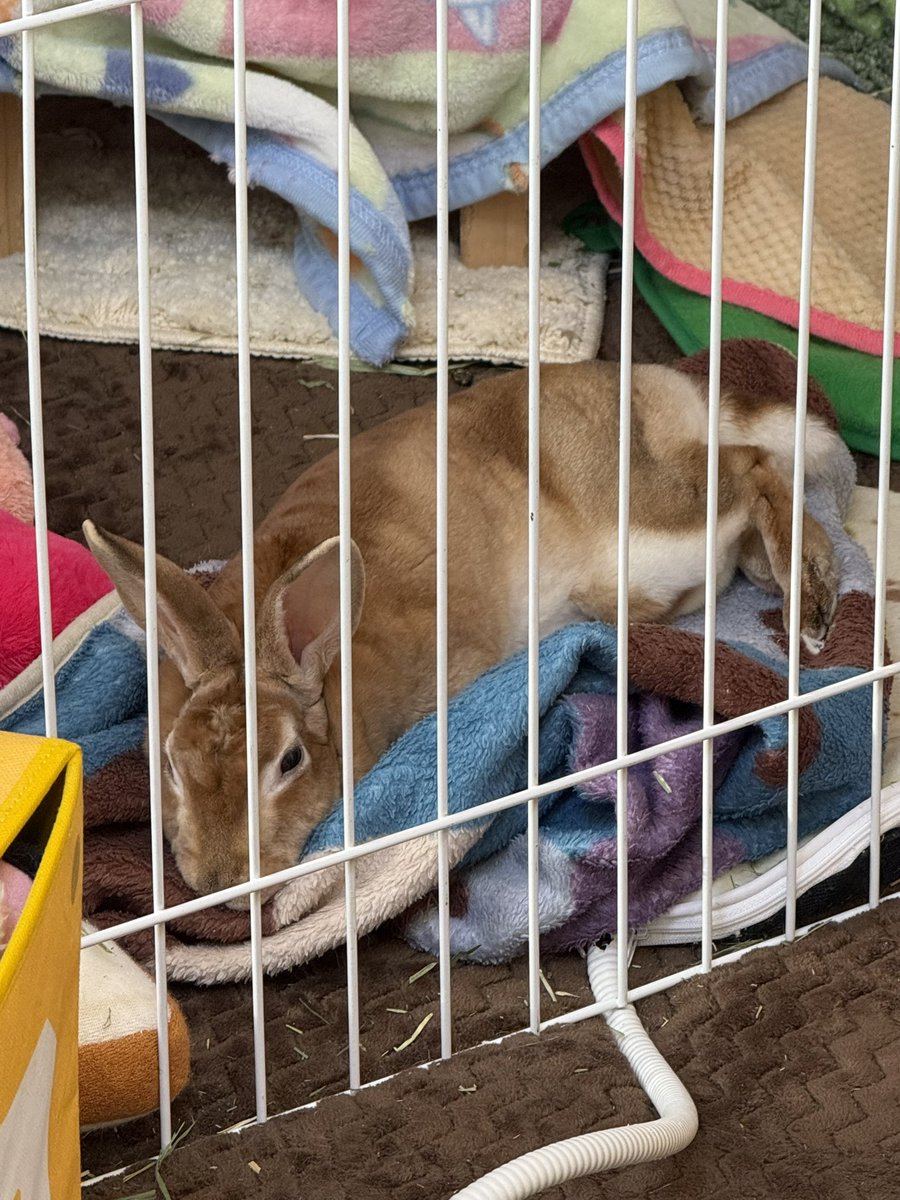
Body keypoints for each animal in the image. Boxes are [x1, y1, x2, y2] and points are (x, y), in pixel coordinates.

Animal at [83, 359, 841, 904]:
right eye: (171, 764)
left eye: (290, 761)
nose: (218, 884)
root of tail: (661, 385)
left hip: (656, 523)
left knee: (750, 465)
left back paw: (810, 599)